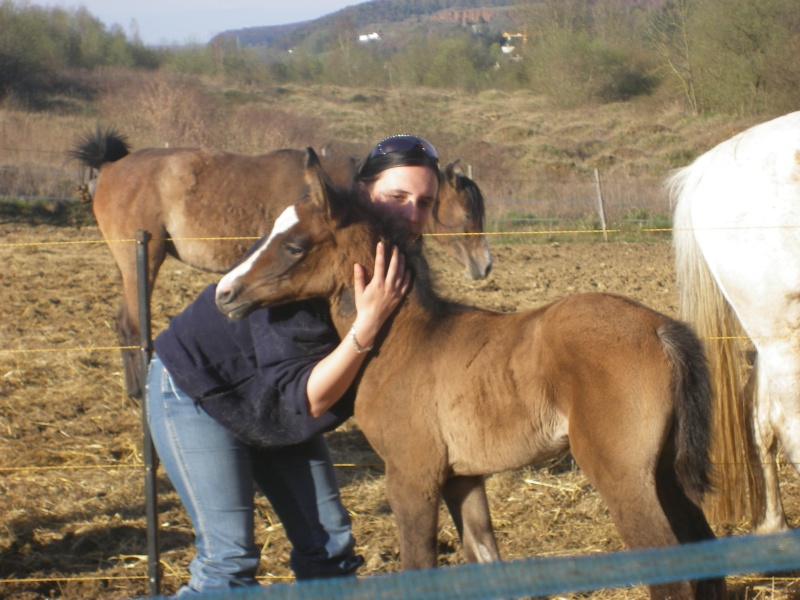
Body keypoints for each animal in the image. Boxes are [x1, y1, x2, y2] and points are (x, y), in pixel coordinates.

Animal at [70, 129, 494, 398]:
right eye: (466, 213)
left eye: (426, 201)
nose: (485, 265)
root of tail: (109, 167)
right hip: (142, 259)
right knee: (131, 325)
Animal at [216, 148, 728, 596]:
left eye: (293, 245)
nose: (225, 292)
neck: (403, 343)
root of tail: (661, 328)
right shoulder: (463, 478)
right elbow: (483, 557)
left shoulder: (411, 475)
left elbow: (418, 565)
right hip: (665, 470)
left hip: (622, 473)